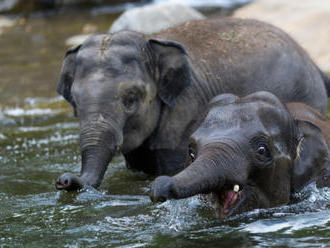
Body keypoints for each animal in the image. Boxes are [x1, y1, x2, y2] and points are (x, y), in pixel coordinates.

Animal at [54, 18, 330, 191]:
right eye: (74, 100)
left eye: (130, 99)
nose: (63, 180)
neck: (151, 40)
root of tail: (310, 59)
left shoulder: (185, 110)